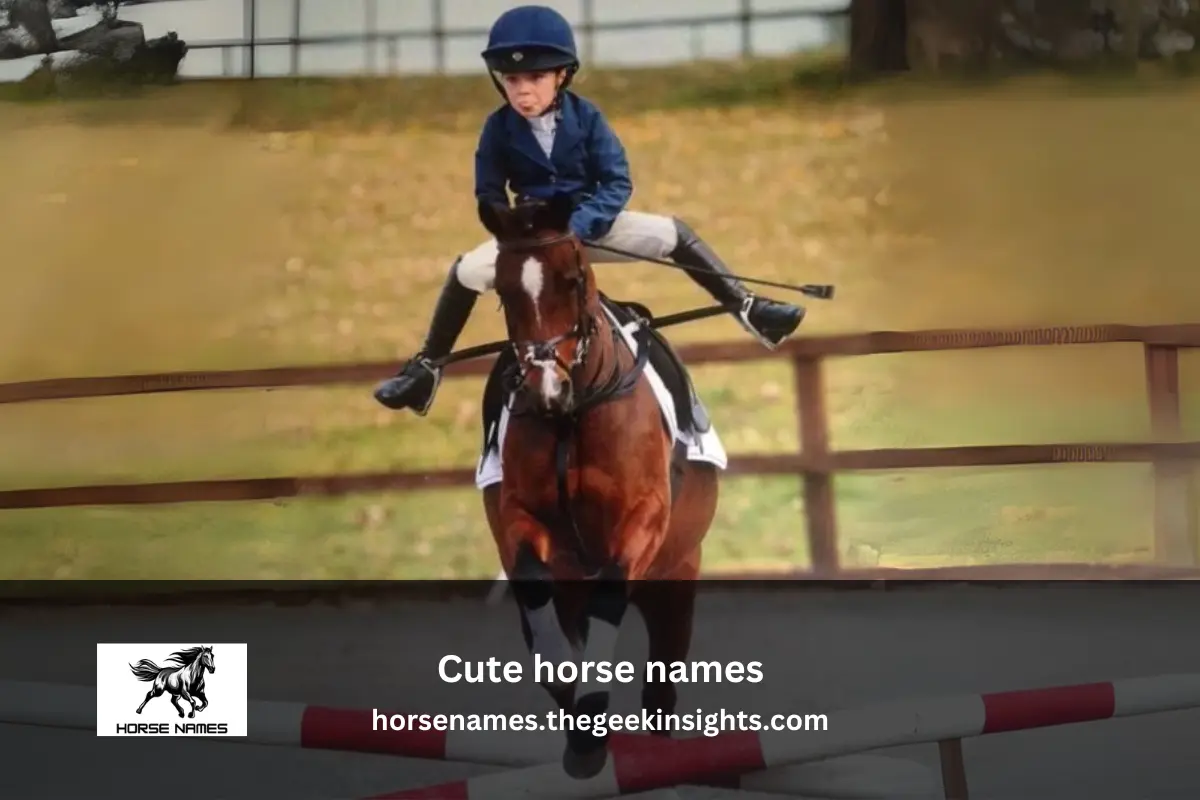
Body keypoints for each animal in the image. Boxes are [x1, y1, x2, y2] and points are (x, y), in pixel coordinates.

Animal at [475, 195, 721, 779]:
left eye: (573, 279)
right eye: (504, 291)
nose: (546, 389)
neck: (574, 416)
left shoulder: (644, 519)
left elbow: (611, 594)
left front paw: (589, 722)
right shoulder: (523, 518)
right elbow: (533, 593)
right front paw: (571, 699)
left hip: (676, 575)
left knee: (661, 690)